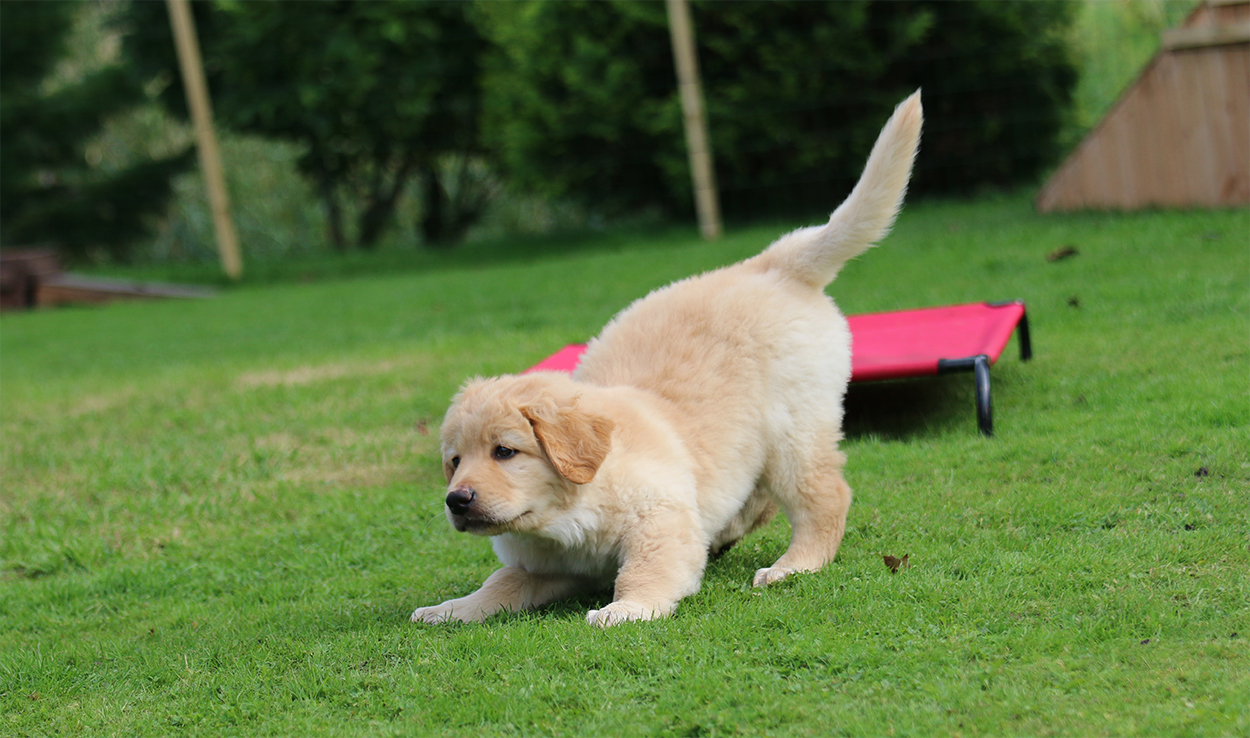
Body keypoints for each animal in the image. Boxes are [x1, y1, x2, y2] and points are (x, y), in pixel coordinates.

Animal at [411, 91, 922, 627]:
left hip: (794, 430)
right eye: (454, 461)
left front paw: (625, 608)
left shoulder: (659, 517)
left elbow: (645, 569)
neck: (565, 514)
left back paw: (793, 565)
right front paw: (450, 609)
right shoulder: (541, 564)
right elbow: (499, 583)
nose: (456, 500)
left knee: (823, 497)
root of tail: (770, 265)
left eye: (505, 452)